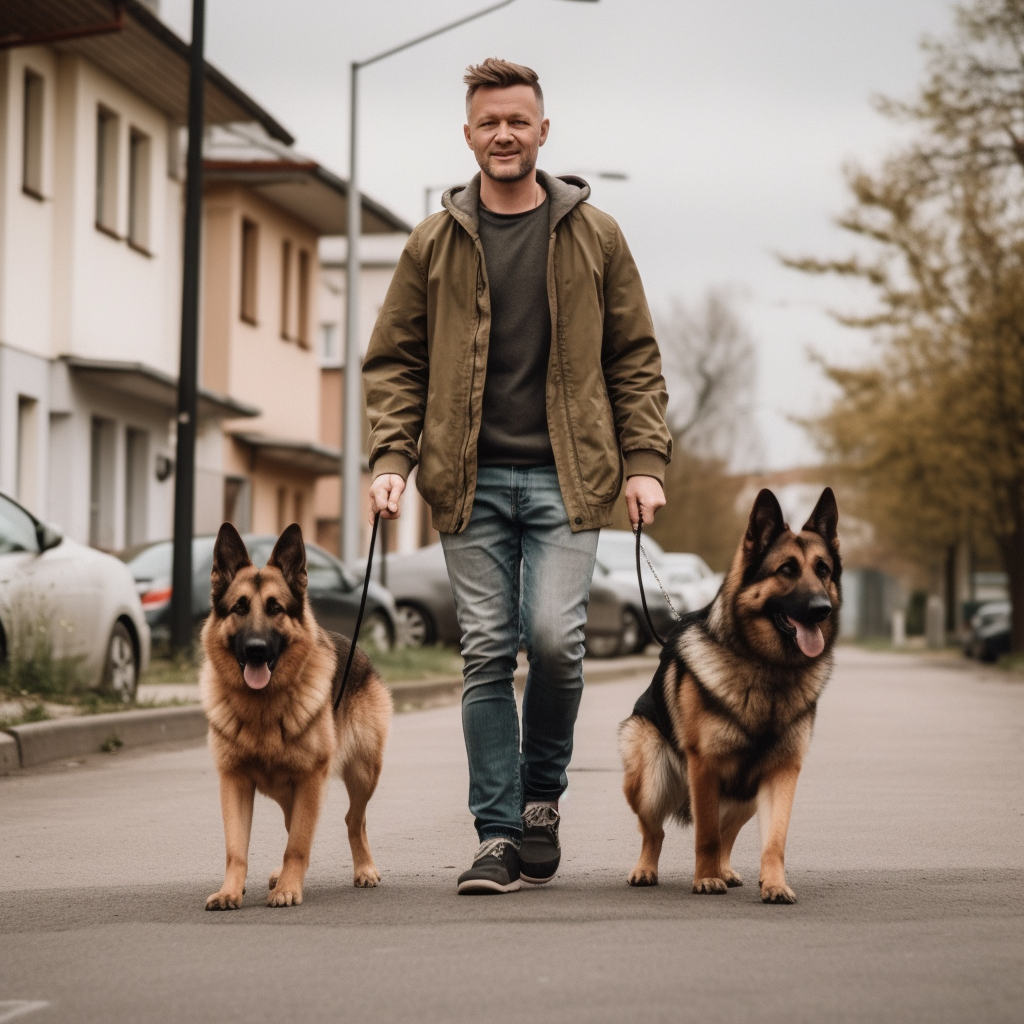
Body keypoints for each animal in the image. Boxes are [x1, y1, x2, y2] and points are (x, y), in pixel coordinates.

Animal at [199, 524, 391, 909]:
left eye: (275, 608)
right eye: (240, 607)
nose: (256, 650)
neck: (262, 708)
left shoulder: (309, 780)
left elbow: (299, 845)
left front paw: (289, 888)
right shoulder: (235, 783)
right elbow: (236, 849)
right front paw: (230, 890)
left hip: (362, 774)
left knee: (354, 820)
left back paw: (364, 869)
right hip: (292, 793)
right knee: (299, 826)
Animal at [614, 489, 839, 905]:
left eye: (823, 570)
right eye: (786, 570)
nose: (822, 609)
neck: (768, 668)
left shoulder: (783, 772)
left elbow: (774, 839)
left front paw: (775, 884)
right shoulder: (704, 767)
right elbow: (705, 834)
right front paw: (705, 879)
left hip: (747, 792)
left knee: (727, 833)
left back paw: (726, 869)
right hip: (650, 778)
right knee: (656, 830)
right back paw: (647, 869)